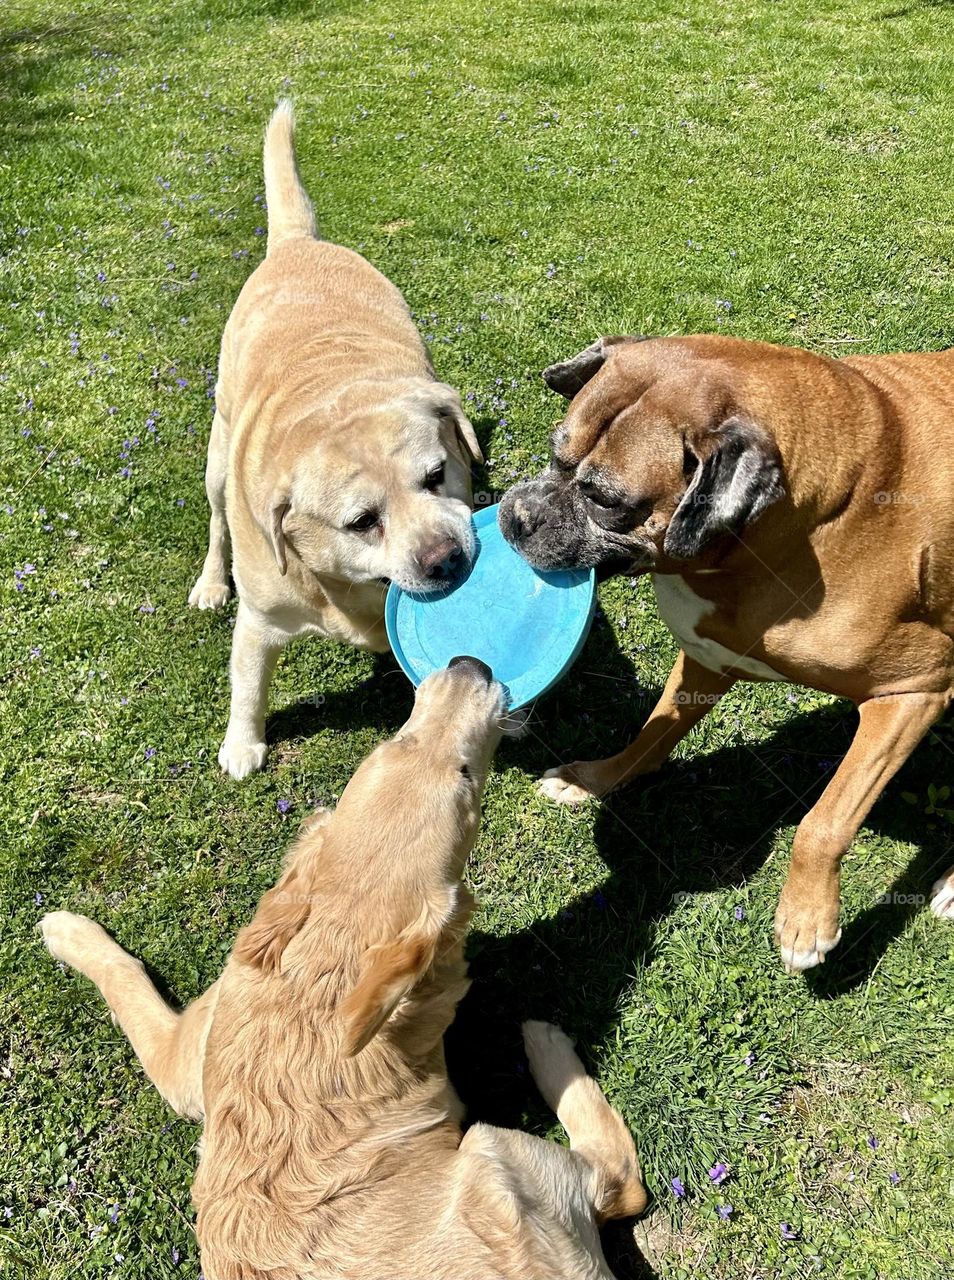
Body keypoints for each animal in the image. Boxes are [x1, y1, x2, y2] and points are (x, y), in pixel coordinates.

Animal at [40, 660, 642, 1280]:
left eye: (464, 773)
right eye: (403, 741)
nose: (468, 665)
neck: (330, 958)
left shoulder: (183, 1059)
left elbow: (126, 977)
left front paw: (63, 928)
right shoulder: (184, 1060)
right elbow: (125, 972)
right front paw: (66, 927)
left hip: (493, 1154)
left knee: (623, 1180)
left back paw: (545, 1047)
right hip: (492, 1153)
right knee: (621, 1182)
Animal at [188, 99, 478, 778]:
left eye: (437, 476)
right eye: (361, 521)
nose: (446, 559)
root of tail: (299, 243)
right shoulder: (260, 618)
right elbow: (247, 684)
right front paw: (242, 744)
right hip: (216, 464)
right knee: (214, 522)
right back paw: (210, 583)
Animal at [499, 335, 952, 972]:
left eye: (606, 501)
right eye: (556, 456)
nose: (513, 517)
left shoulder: (913, 694)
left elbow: (827, 818)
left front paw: (806, 917)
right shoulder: (707, 658)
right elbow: (652, 733)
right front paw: (597, 779)